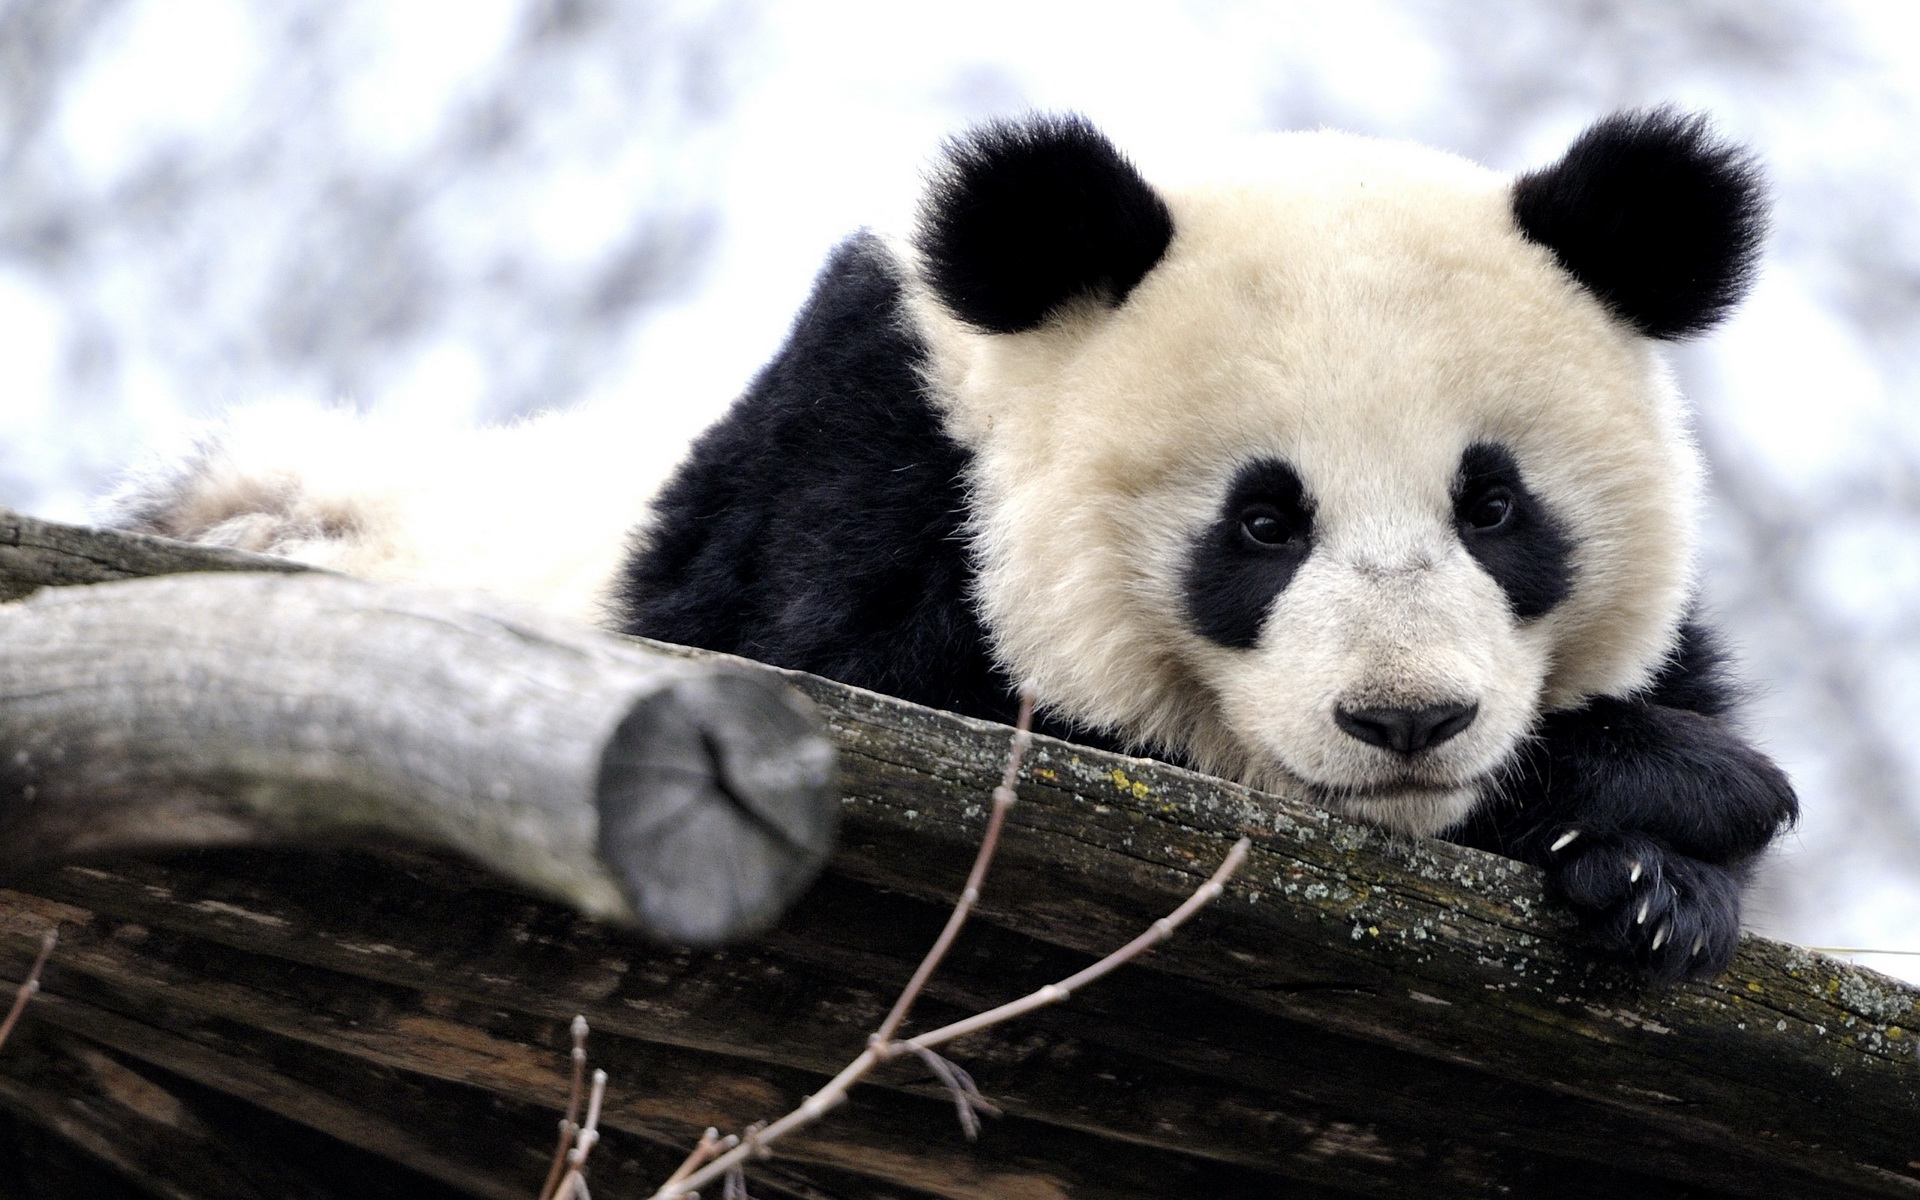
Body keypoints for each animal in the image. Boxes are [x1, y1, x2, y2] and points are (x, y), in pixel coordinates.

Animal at [116, 107, 1797, 983]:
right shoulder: (854, 485)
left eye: (1493, 508)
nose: (1407, 722)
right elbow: (911, 694)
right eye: (1263, 522)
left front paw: (1658, 884)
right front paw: (1665, 789)